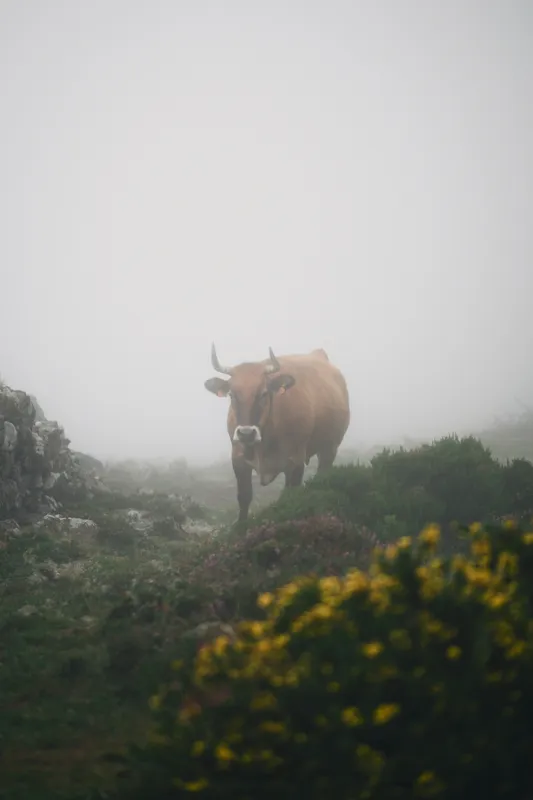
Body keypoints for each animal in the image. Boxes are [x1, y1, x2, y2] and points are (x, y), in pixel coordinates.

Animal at [204, 344, 350, 522]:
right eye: (232, 395)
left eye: (263, 393)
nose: (246, 433)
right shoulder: (238, 459)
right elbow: (244, 497)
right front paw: (240, 525)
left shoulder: (295, 461)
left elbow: (289, 495)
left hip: (330, 447)